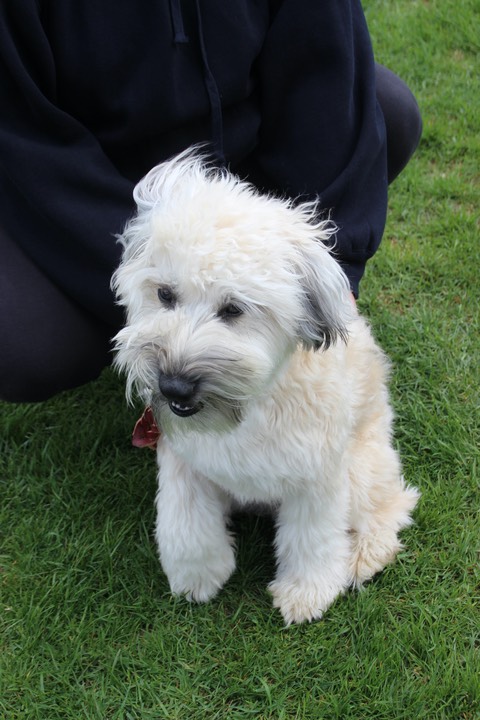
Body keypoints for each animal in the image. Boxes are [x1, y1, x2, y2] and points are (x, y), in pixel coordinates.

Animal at [111, 150, 416, 624]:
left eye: (234, 309)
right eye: (164, 294)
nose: (174, 386)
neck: (248, 408)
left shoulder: (317, 478)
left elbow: (313, 538)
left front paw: (307, 592)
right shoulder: (184, 461)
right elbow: (184, 522)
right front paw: (197, 575)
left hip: (363, 469)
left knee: (392, 507)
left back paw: (363, 556)